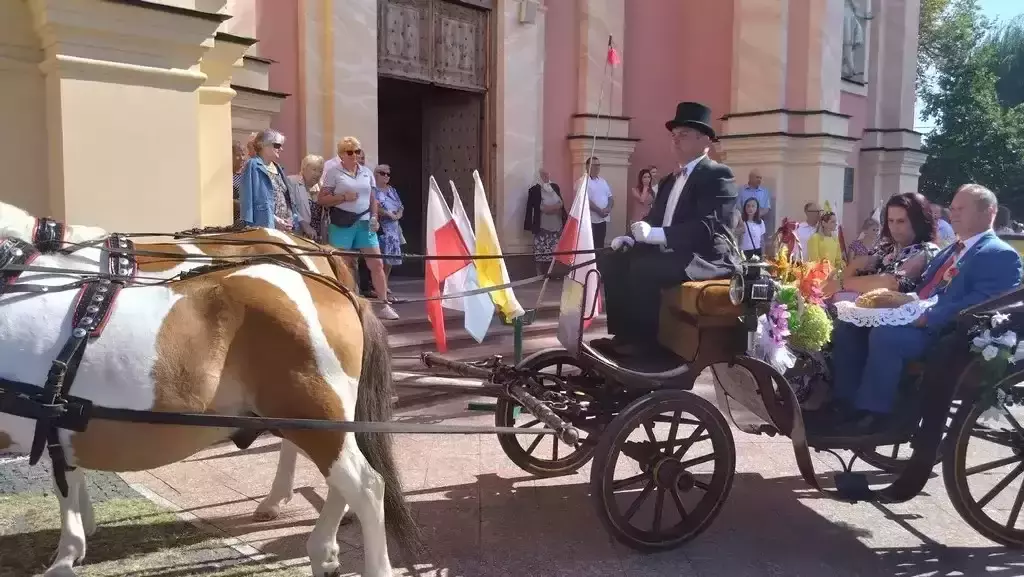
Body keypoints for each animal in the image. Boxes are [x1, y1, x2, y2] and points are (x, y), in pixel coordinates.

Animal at [1, 201, 415, 573]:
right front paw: (78, 535)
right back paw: (318, 543)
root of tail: (332, 284)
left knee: (365, 486)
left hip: (316, 410)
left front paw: (68, 551)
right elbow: (68, 473)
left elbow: (64, 481)